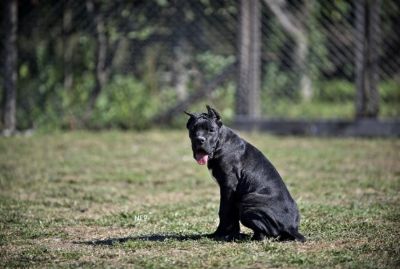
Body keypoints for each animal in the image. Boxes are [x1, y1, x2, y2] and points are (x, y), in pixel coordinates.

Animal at [186, 104, 304, 241]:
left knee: (265, 234)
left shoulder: (228, 187)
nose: (200, 139)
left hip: (248, 201)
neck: (221, 143)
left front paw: (220, 235)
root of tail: (291, 228)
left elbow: (224, 211)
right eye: (193, 129)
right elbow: (231, 215)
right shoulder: (232, 193)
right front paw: (230, 234)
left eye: (211, 130)